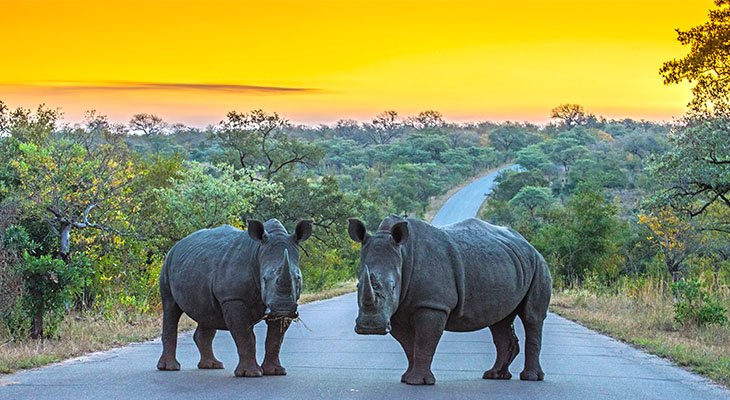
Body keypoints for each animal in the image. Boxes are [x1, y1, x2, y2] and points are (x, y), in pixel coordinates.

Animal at [156, 219, 310, 378]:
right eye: (264, 279)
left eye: (298, 278)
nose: (283, 308)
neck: (258, 253)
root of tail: (177, 245)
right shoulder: (233, 298)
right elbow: (245, 336)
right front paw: (251, 374)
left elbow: (275, 339)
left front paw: (275, 372)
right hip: (167, 264)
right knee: (171, 307)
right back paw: (170, 368)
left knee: (206, 312)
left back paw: (212, 365)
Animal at [346, 216, 544, 384]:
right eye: (358, 285)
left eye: (393, 287)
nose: (371, 327)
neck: (403, 254)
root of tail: (528, 244)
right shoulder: (396, 311)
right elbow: (408, 344)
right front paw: (407, 378)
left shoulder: (433, 304)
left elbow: (424, 341)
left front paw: (419, 382)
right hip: (506, 265)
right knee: (499, 321)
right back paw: (495, 375)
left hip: (538, 263)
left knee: (532, 317)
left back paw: (531, 378)